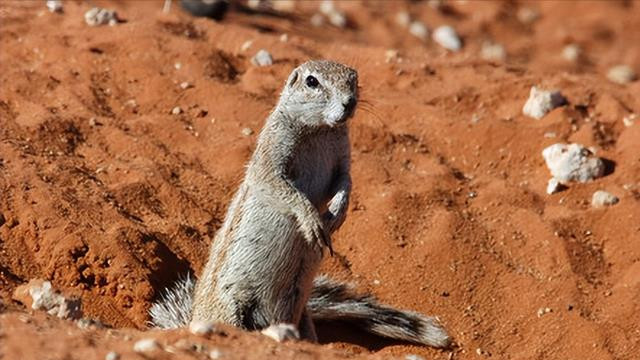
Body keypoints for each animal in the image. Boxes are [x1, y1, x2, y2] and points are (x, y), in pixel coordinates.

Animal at [150, 59, 450, 348]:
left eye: (354, 79)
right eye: (312, 81)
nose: (350, 102)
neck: (320, 130)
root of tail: (193, 320)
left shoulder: (343, 160)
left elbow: (346, 182)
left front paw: (337, 212)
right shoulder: (271, 156)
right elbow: (282, 188)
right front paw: (312, 221)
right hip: (230, 308)